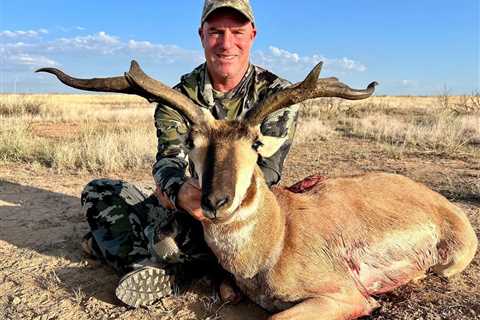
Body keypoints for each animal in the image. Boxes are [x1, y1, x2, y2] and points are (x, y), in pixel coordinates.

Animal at [36, 61, 476, 318]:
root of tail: (444, 206)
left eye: (255, 142)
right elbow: (227, 292)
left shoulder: (343, 297)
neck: (278, 235)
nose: (216, 201)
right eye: (192, 141)